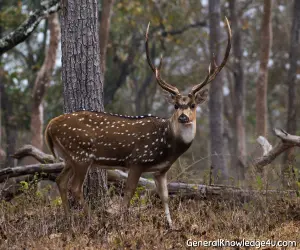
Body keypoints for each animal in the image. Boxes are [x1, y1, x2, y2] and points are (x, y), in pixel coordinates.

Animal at [45, 18, 232, 228]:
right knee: (74, 186)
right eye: (176, 105)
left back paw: (69, 219)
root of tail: (49, 126)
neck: (169, 145)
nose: (183, 117)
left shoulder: (161, 170)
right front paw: (121, 221)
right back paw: (90, 219)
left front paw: (171, 225)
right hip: (81, 154)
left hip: (69, 157)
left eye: (192, 105)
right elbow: (128, 194)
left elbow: (165, 196)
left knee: (60, 180)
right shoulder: (137, 160)